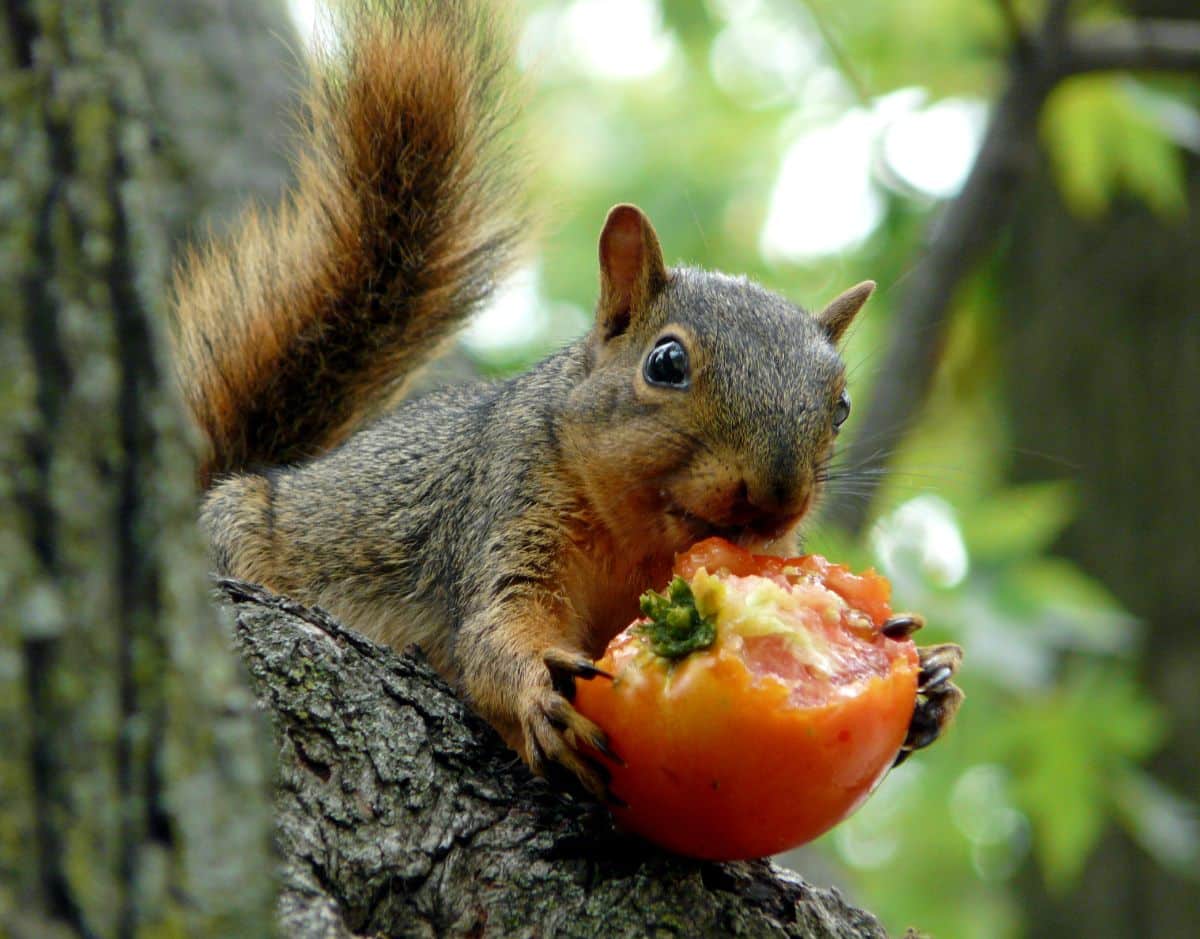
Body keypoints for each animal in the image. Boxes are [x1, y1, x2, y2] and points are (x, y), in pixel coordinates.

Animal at [169, 0, 960, 797]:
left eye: (841, 406)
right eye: (666, 362)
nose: (777, 497)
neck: (640, 546)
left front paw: (929, 682)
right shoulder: (508, 507)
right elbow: (497, 622)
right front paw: (538, 690)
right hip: (239, 525)